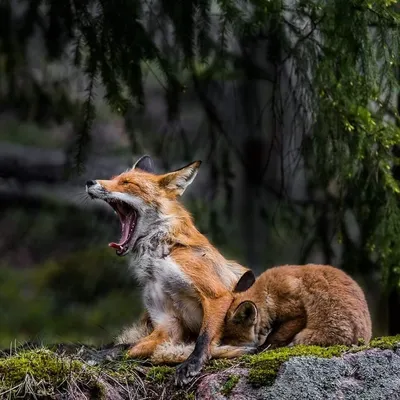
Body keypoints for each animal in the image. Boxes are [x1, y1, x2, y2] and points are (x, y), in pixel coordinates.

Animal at [86, 155, 252, 384]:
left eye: (127, 183)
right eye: (114, 178)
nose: (89, 182)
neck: (159, 260)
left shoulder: (218, 295)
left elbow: (204, 337)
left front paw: (192, 363)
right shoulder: (168, 324)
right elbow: (130, 348)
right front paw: (107, 355)